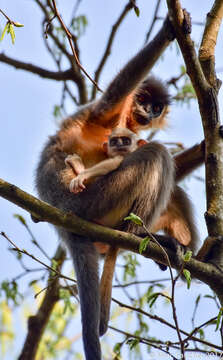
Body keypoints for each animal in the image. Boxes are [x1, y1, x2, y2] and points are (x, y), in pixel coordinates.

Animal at [36, 14, 193, 360]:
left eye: (157, 107)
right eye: (144, 101)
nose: (148, 112)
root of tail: (63, 220)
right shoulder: (104, 115)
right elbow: (114, 95)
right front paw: (169, 29)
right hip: (95, 201)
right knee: (156, 155)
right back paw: (142, 236)